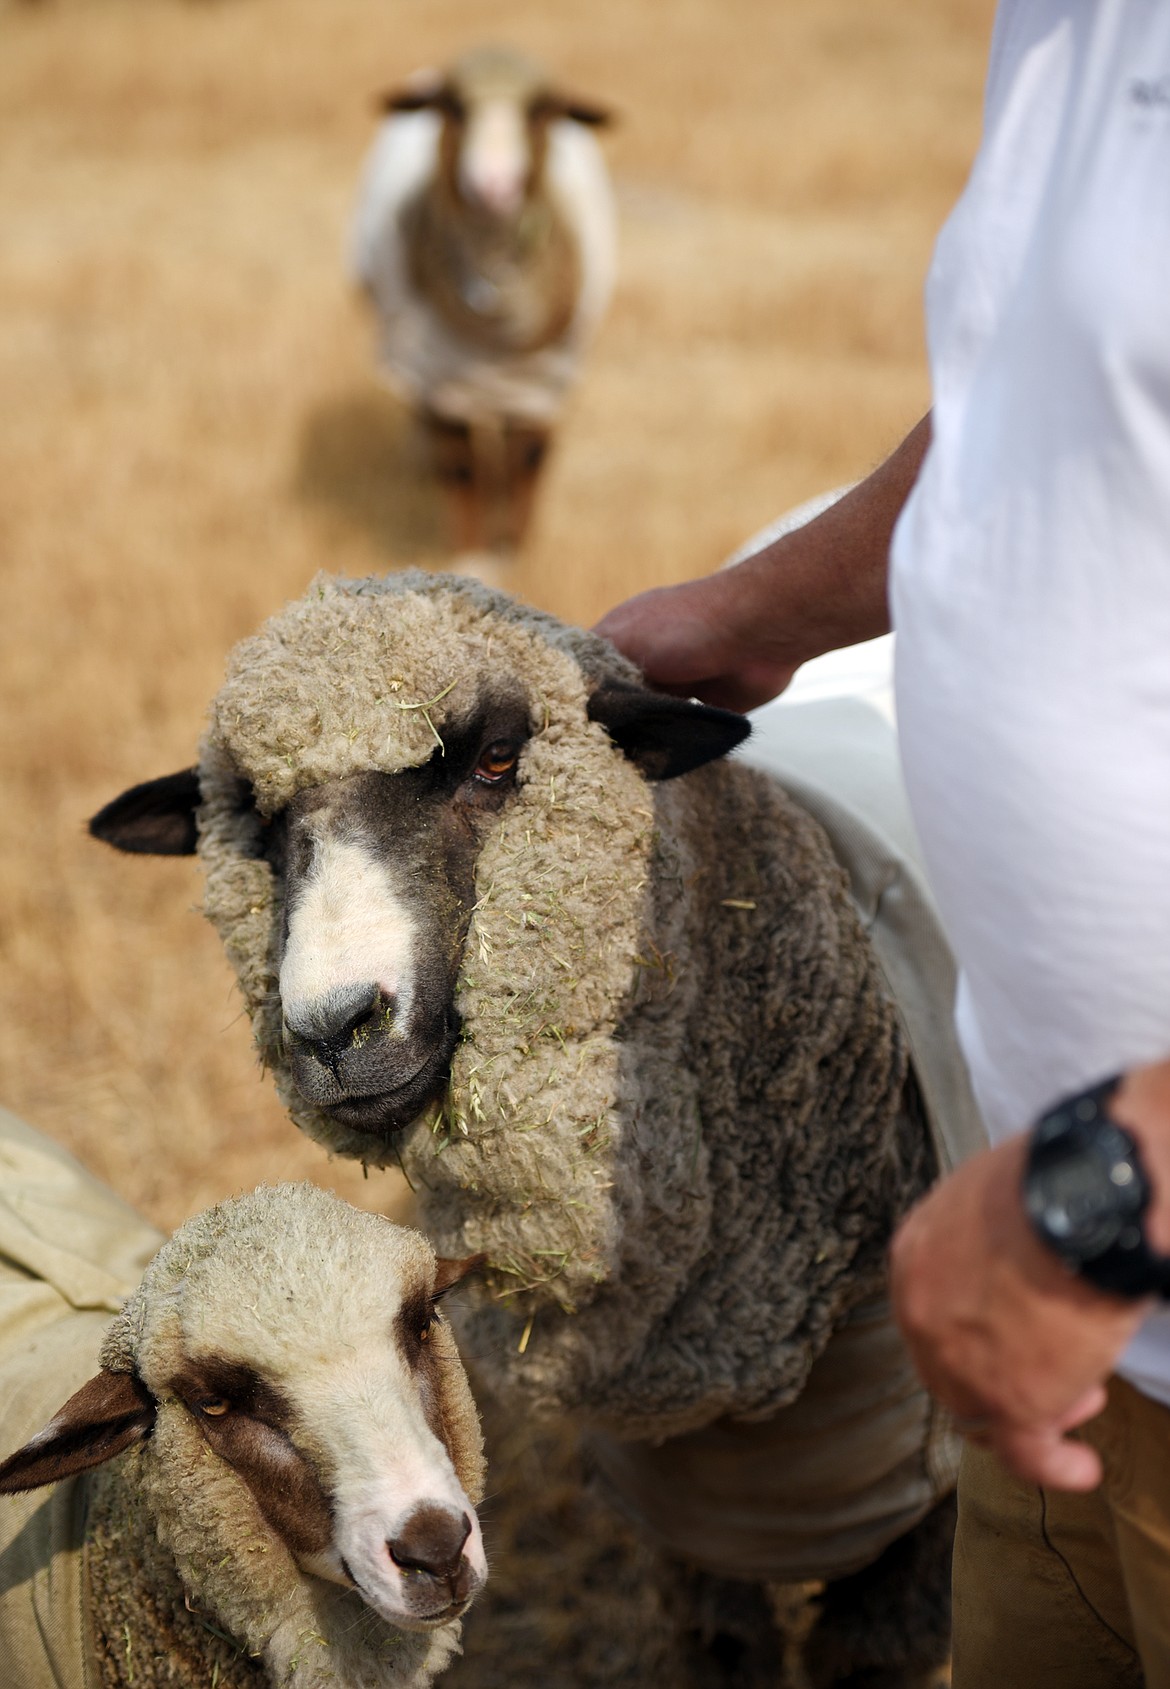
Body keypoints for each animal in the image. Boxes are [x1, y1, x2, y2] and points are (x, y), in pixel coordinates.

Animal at [350, 45, 616, 552]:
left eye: (540, 109)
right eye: (453, 106)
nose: (493, 186)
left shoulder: (542, 386)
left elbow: (527, 459)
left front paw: (512, 548)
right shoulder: (442, 382)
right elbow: (461, 470)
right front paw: (468, 553)